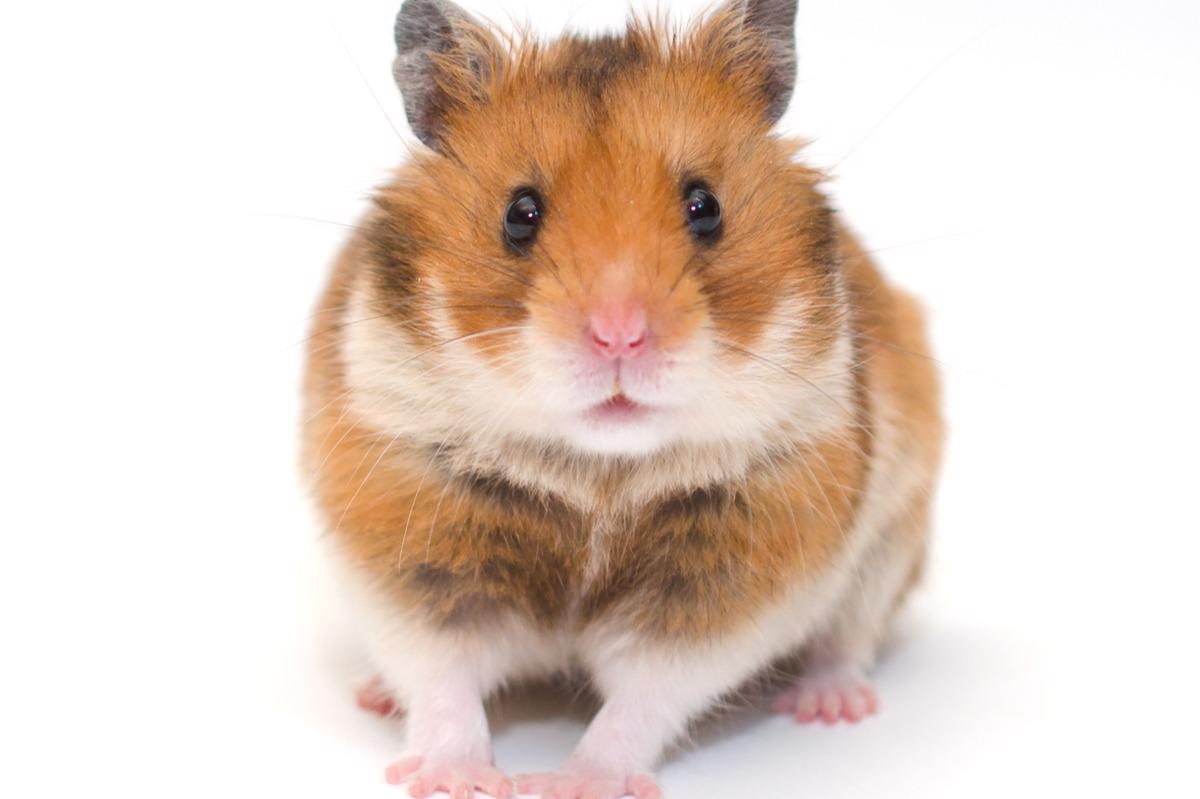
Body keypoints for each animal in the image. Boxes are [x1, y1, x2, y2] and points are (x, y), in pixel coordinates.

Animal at [301, 0, 943, 797]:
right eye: (520, 213)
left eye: (706, 207)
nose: (619, 336)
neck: (597, 472)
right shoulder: (412, 548)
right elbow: (443, 676)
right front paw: (454, 779)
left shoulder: (727, 579)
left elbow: (642, 697)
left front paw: (571, 781)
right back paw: (375, 694)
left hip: (894, 541)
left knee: (848, 639)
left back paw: (831, 705)